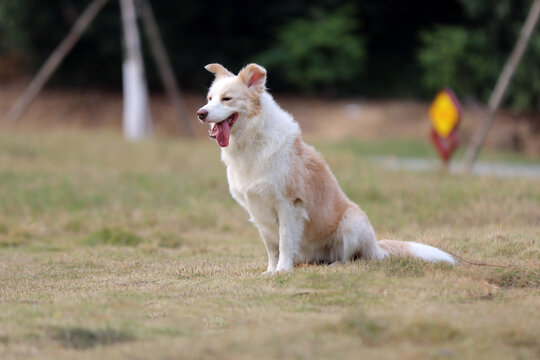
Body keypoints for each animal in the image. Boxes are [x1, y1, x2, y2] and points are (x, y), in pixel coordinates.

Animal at [196, 63, 454, 274]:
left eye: (227, 99)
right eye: (209, 98)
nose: (201, 113)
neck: (252, 139)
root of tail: (377, 247)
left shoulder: (288, 204)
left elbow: (285, 241)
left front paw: (282, 271)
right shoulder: (257, 210)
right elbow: (272, 247)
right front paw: (270, 271)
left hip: (352, 221)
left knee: (352, 258)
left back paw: (336, 265)